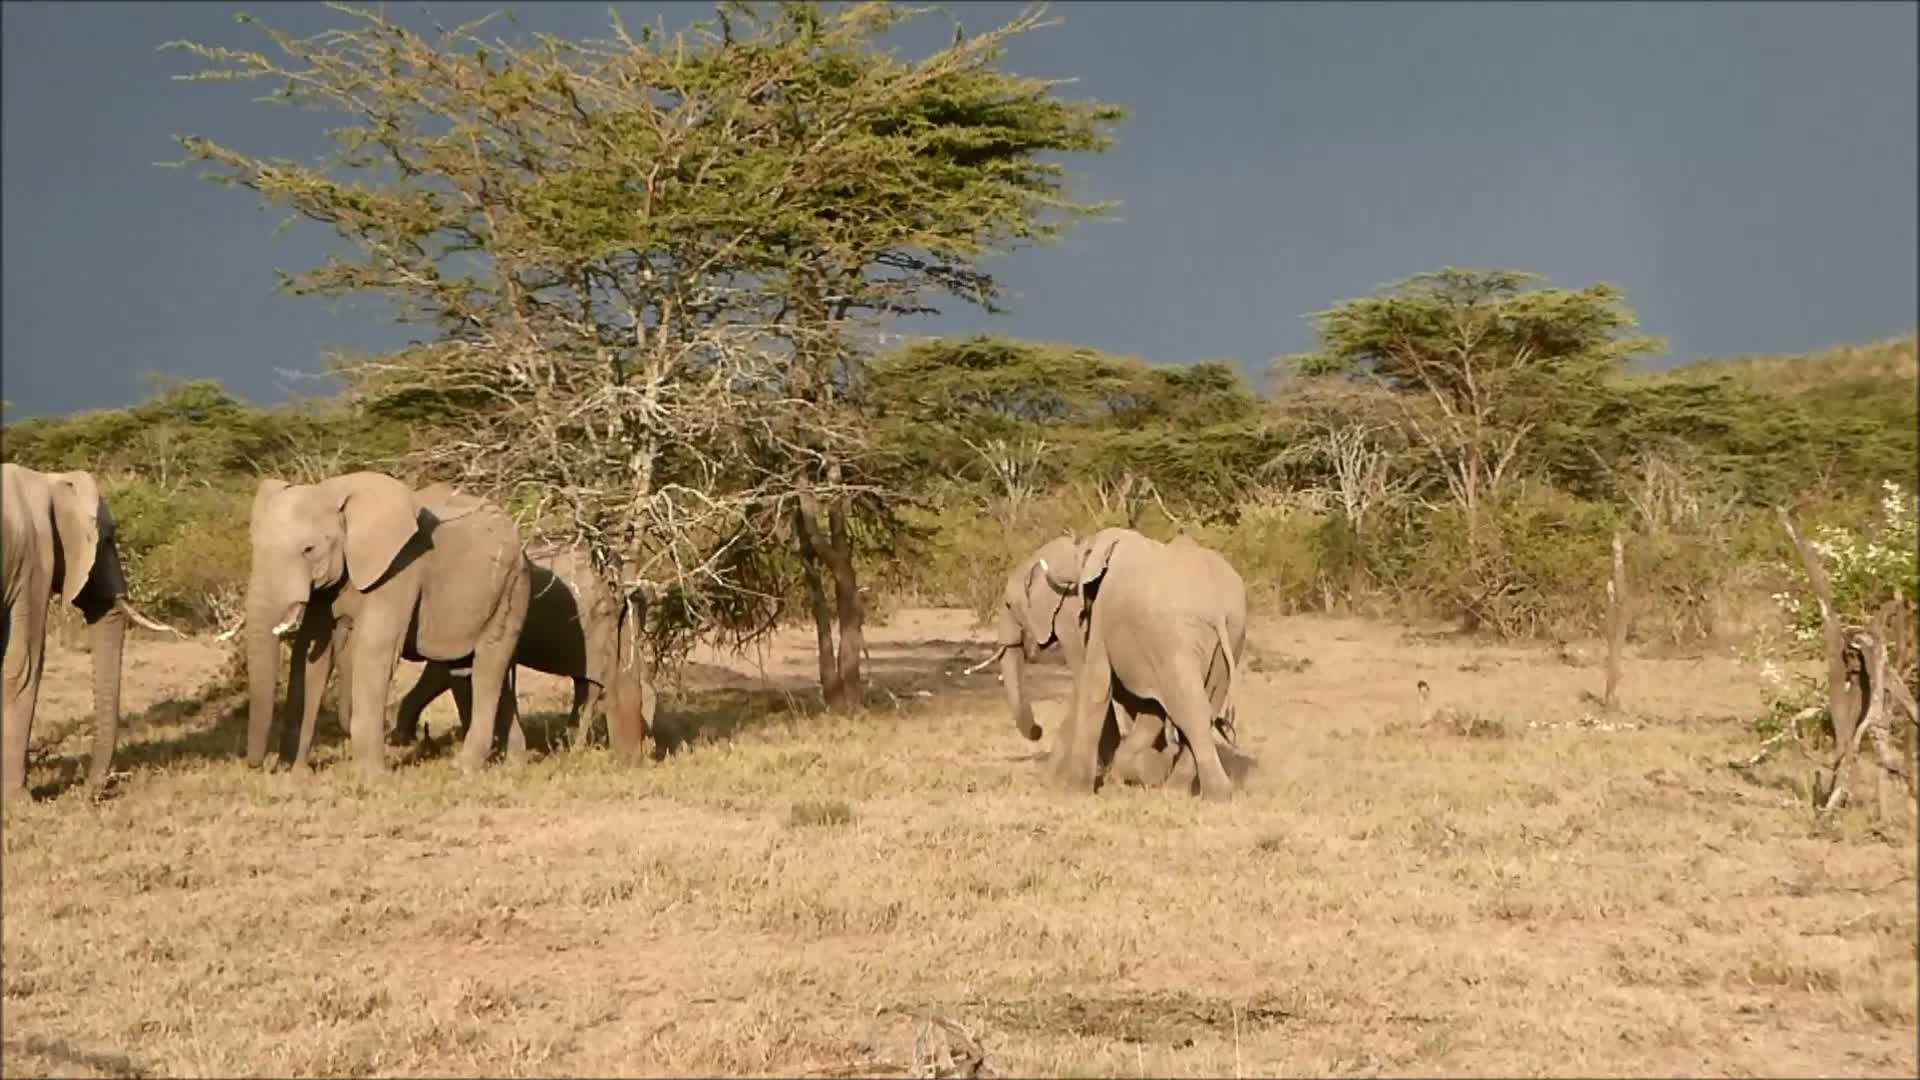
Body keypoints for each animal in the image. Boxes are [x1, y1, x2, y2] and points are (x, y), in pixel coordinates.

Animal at [3, 464, 178, 801]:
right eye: (108, 539)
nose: (91, 788)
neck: (50, 480)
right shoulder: (32, 559)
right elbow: (22, 666)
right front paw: (19, 802)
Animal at [242, 471, 532, 779]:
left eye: (309, 549)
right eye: (254, 547)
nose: (261, 765)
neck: (334, 491)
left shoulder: (401, 570)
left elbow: (374, 652)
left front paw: (369, 777)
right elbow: (309, 657)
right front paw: (295, 774)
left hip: (512, 587)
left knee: (487, 669)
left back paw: (465, 768)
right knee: (467, 670)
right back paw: (513, 764)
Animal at [1039, 527, 1248, 802]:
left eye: (1083, 554)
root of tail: (1216, 607)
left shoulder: (1105, 616)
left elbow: (1097, 686)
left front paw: (1074, 793)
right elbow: (1152, 707)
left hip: (1175, 636)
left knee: (1190, 710)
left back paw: (1211, 795)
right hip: (1230, 637)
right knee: (1205, 708)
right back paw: (1181, 791)